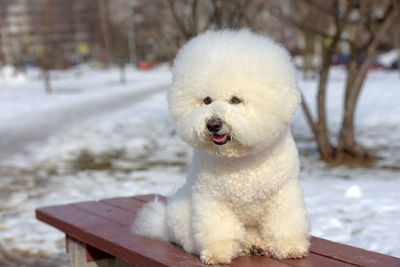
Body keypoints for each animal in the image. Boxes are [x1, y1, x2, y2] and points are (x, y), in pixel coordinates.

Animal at [133, 29, 310, 266]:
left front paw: (290, 248)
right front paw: (217, 253)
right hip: (181, 212)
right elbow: (217, 230)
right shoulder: (211, 199)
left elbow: (284, 223)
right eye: (207, 100)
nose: (213, 124)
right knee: (190, 239)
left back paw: (258, 245)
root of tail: (163, 224)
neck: (240, 160)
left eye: (235, 100)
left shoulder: (283, 193)